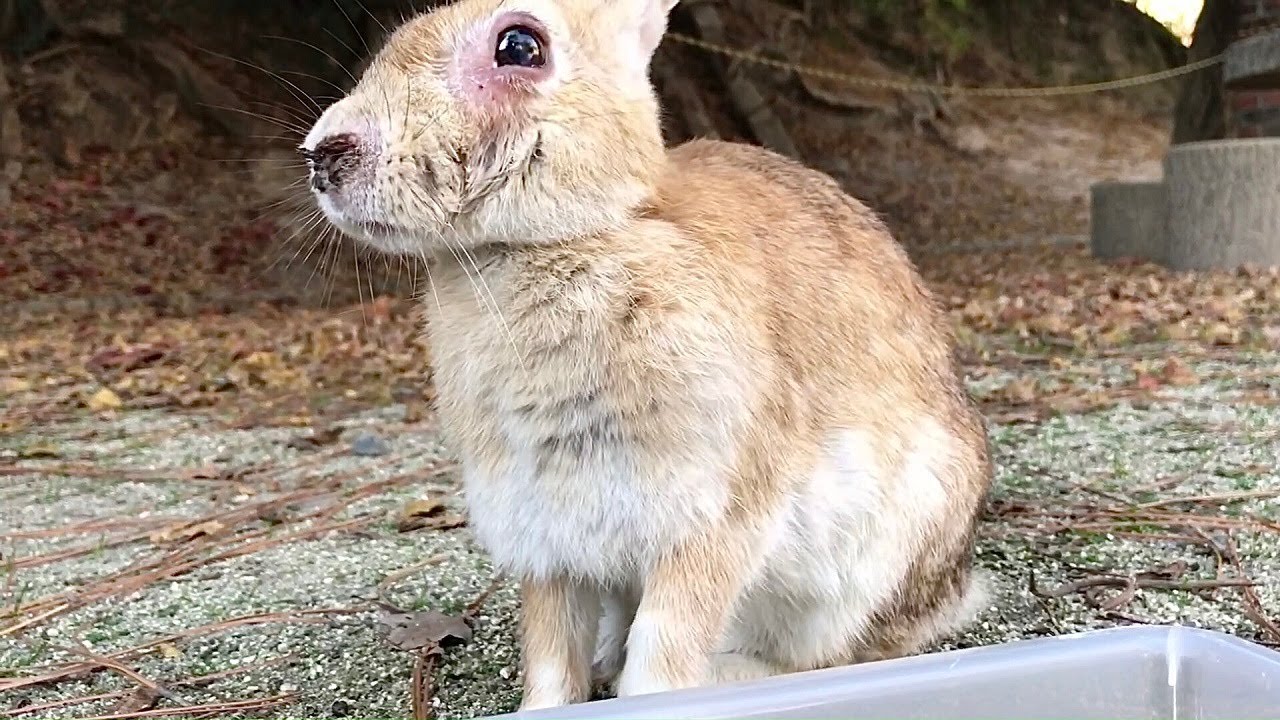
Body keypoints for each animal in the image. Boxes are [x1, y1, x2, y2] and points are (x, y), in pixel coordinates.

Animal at [299, 0, 994, 711]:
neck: (555, 241)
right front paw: (543, 707)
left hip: (862, 567)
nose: (324, 153)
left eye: (519, 47)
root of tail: (956, 590)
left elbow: (663, 651)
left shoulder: (712, 517)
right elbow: (551, 654)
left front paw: (648, 694)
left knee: (826, 656)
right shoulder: (546, 536)